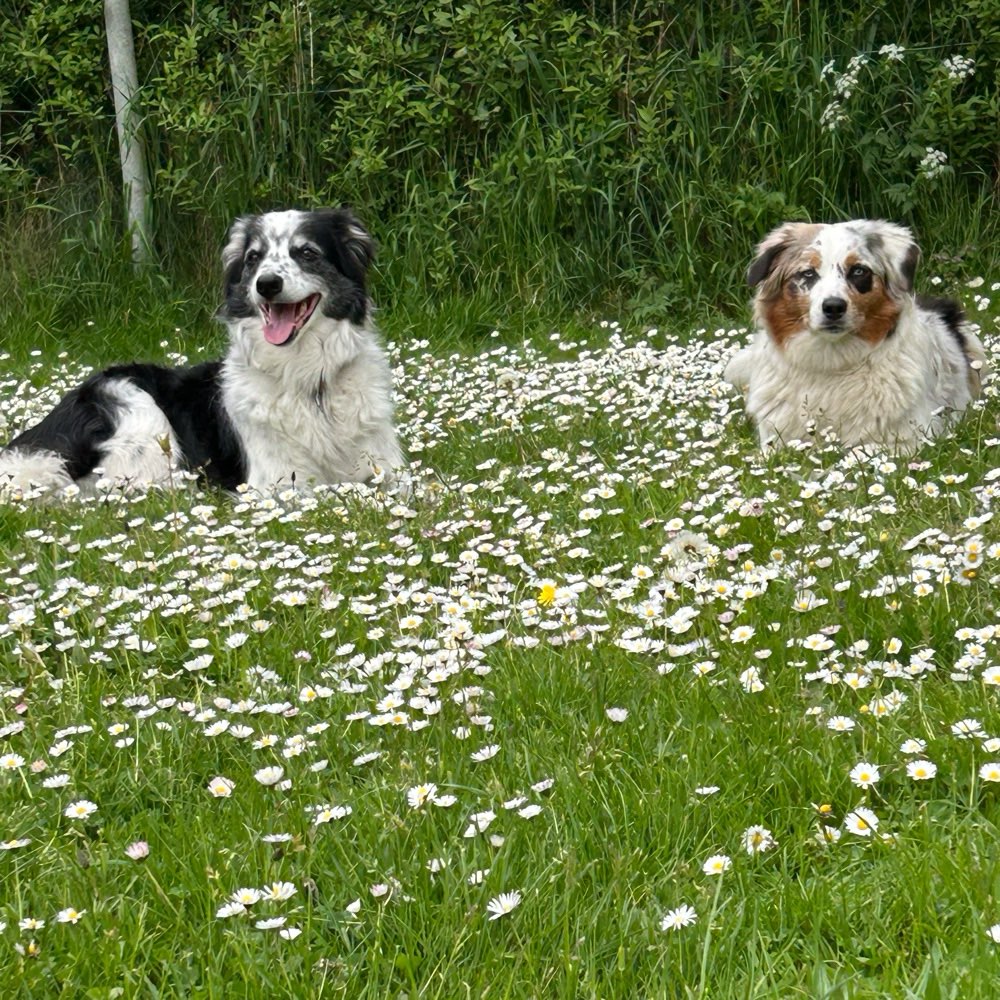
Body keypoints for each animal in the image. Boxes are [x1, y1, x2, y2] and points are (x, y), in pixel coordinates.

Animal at [0, 208, 406, 496]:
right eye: (254, 258)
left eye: (307, 252)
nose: (266, 284)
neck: (310, 383)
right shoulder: (275, 482)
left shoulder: (387, 467)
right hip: (135, 409)